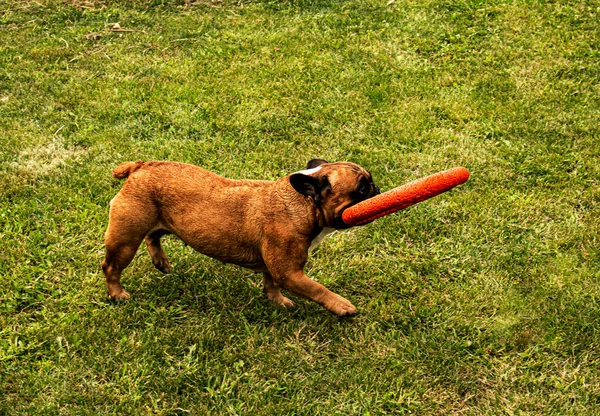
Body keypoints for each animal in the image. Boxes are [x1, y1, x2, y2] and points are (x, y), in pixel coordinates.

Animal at [99, 158, 380, 316]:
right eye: (361, 188)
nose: (377, 188)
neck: (305, 205)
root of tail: (139, 167)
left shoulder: (276, 267)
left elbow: (271, 284)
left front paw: (277, 302)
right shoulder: (290, 272)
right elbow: (317, 289)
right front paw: (341, 305)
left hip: (159, 221)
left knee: (153, 236)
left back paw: (161, 262)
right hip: (126, 239)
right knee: (111, 266)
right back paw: (117, 295)